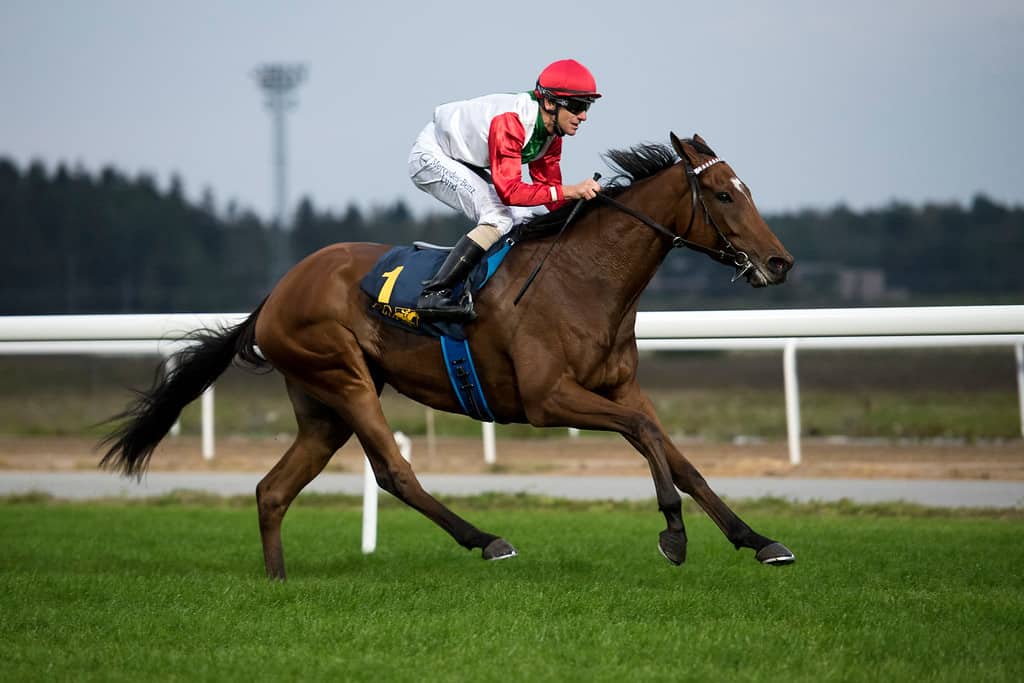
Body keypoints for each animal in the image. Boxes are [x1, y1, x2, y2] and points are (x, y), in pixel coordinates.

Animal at [99, 132, 794, 577]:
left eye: (747, 190)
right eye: (725, 196)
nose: (780, 262)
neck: (585, 279)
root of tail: (276, 293)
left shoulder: (621, 387)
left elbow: (679, 456)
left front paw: (758, 540)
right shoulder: (548, 400)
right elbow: (648, 438)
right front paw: (673, 534)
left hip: (321, 408)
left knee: (272, 490)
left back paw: (277, 581)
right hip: (343, 376)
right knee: (393, 472)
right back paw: (485, 540)